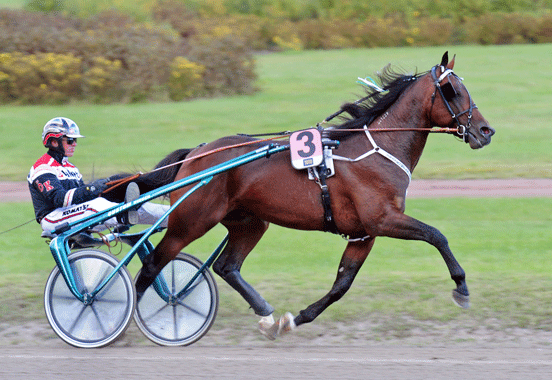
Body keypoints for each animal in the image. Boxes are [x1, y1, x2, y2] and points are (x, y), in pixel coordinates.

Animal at [130, 52, 496, 340]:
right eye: (453, 90)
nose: (485, 131)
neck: (378, 149)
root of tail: (197, 152)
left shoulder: (364, 234)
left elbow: (341, 285)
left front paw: (293, 320)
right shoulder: (383, 220)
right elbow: (437, 236)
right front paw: (461, 288)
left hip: (250, 222)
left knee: (227, 266)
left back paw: (265, 315)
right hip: (190, 222)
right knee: (151, 266)